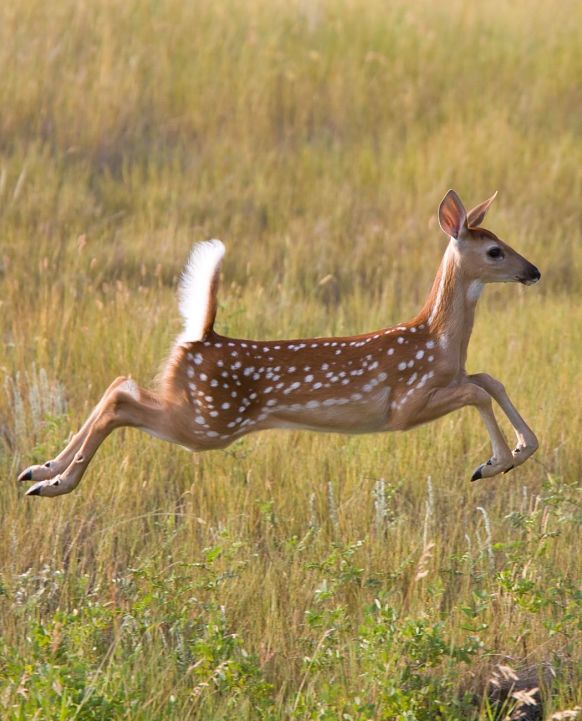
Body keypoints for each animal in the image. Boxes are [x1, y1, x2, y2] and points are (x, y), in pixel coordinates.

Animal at [19, 190, 541, 497]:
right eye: (495, 250)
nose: (532, 271)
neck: (438, 340)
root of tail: (201, 337)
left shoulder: (453, 377)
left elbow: (489, 380)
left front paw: (519, 451)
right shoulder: (406, 404)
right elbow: (476, 391)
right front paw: (493, 464)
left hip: (195, 411)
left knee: (119, 384)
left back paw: (39, 470)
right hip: (208, 422)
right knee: (120, 402)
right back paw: (56, 482)